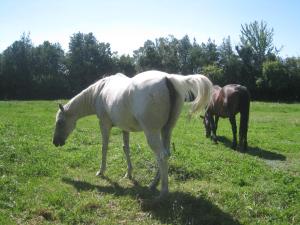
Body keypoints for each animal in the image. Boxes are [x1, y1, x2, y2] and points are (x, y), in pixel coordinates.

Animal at [52, 70, 212, 200]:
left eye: (60, 122)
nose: (55, 142)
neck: (99, 91)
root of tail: (168, 78)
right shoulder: (125, 128)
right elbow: (126, 148)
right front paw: (128, 174)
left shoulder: (104, 124)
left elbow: (104, 147)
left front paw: (101, 171)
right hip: (166, 130)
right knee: (166, 153)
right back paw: (153, 184)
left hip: (152, 133)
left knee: (161, 156)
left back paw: (163, 192)